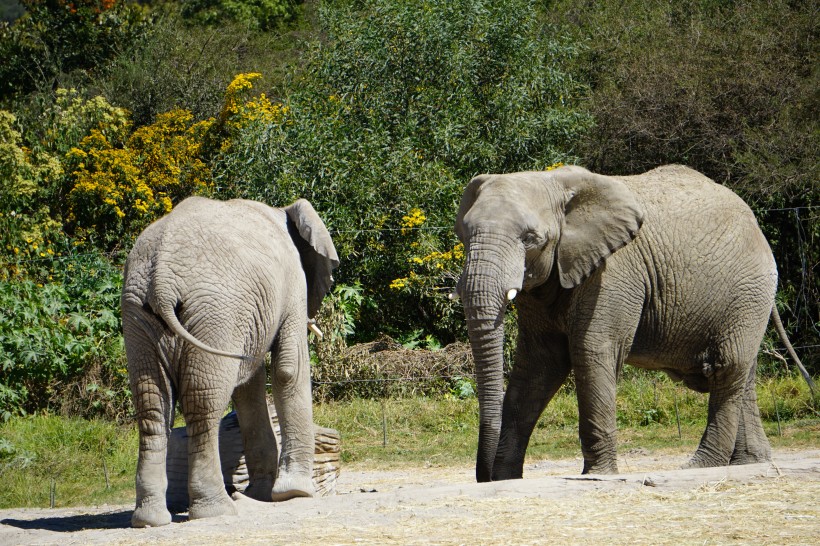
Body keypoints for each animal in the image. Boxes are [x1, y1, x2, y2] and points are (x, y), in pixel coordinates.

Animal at [121, 194, 336, 524]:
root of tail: (162, 281)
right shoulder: (292, 285)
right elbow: (288, 369)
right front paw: (296, 493)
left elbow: (248, 386)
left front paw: (261, 495)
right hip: (215, 312)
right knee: (203, 403)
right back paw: (216, 510)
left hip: (138, 315)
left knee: (152, 406)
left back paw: (149, 520)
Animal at [454, 163, 812, 480]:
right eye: (464, 235)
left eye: (530, 239)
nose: (483, 475)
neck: (552, 181)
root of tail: (757, 227)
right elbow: (537, 367)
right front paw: (505, 479)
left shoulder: (613, 271)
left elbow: (592, 350)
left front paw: (598, 475)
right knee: (742, 373)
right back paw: (749, 463)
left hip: (748, 290)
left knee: (727, 367)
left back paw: (699, 466)